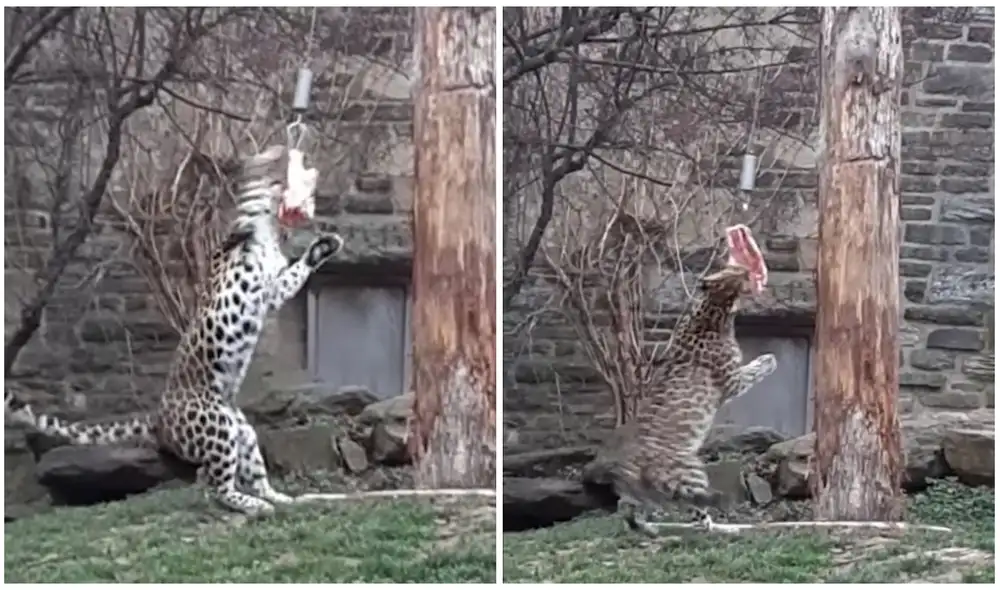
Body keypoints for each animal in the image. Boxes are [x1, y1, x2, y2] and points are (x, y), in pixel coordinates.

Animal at [5, 145, 343, 516]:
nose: (289, 155)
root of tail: (160, 419)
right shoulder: (244, 266)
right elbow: (245, 213)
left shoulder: (273, 290)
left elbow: (294, 273)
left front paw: (324, 246)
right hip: (218, 428)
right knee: (215, 486)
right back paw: (255, 505)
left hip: (241, 431)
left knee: (245, 476)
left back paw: (281, 499)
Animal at [604, 224, 777, 535]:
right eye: (736, 273)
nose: (748, 270)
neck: (713, 309)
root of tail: (634, 464)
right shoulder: (731, 381)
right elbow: (753, 370)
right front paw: (769, 359)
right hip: (691, 473)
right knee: (697, 510)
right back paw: (722, 528)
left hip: (649, 491)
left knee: (631, 508)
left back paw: (648, 527)